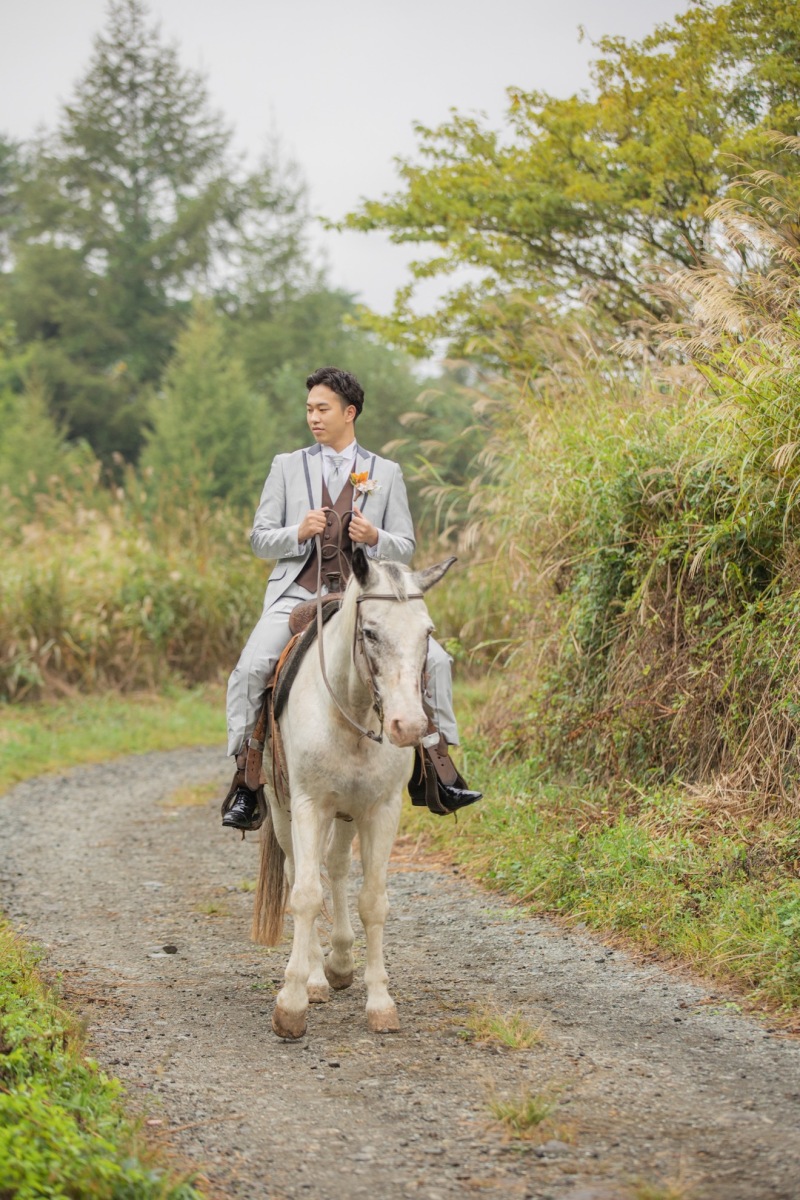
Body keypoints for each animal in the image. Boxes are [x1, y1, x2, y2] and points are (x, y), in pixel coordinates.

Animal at [251, 546, 455, 1039]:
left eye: (427, 633)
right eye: (370, 632)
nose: (409, 726)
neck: (352, 709)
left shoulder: (381, 810)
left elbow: (373, 901)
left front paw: (380, 1002)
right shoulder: (308, 805)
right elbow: (305, 894)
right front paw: (292, 1004)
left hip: (346, 812)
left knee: (339, 867)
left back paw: (341, 962)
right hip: (284, 810)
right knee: (300, 875)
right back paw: (316, 978)